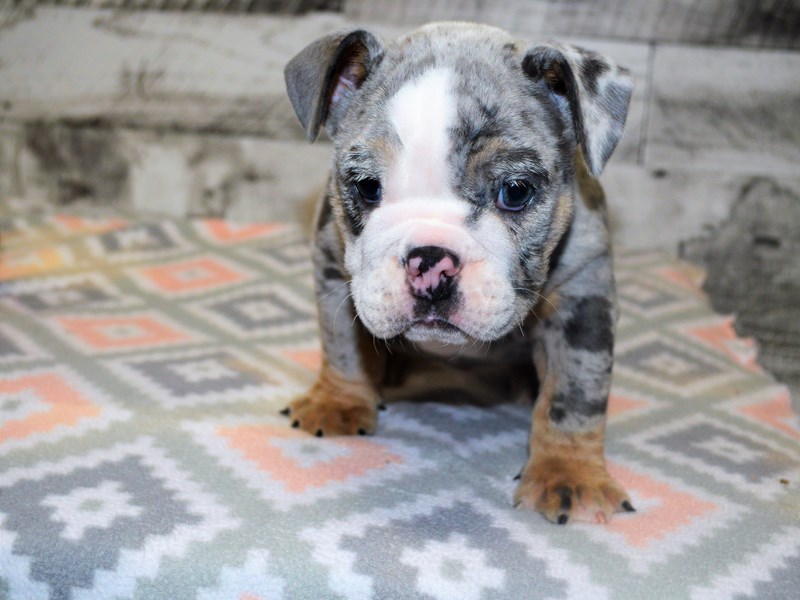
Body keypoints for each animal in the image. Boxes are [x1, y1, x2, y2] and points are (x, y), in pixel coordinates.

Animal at [284, 21, 636, 524]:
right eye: (367, 187)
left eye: (515, 191)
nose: (431, 260)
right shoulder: (334, 272)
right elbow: (343, 346)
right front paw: (340, 400)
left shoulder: (583, 304)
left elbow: (574, 394)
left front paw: (569, 474)